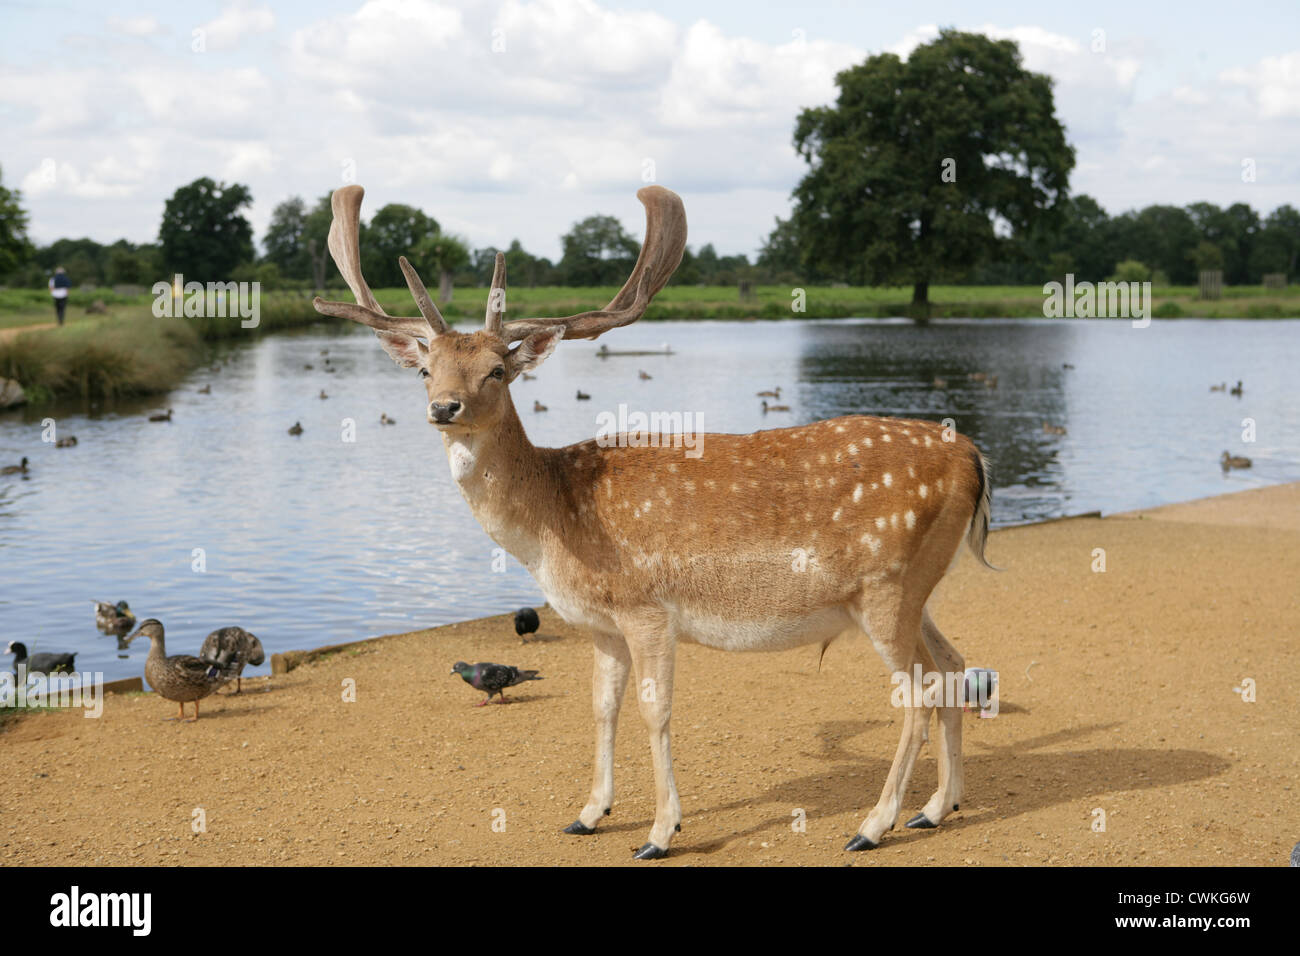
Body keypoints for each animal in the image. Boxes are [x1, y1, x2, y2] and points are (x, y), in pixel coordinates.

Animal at [314, 183, 993, 858]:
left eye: (497, 370)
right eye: (425, 369)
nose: (444, 408)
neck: (552, 525)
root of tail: (974, 458)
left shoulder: (646, 608)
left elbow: (655, 712)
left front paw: (660, 833)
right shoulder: (602, 625)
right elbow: (601, 708)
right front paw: (589, 814)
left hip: (887, 587)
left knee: (918, 691)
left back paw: (873, 826)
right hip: (915, 588)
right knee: (954, 665)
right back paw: (936, 808)